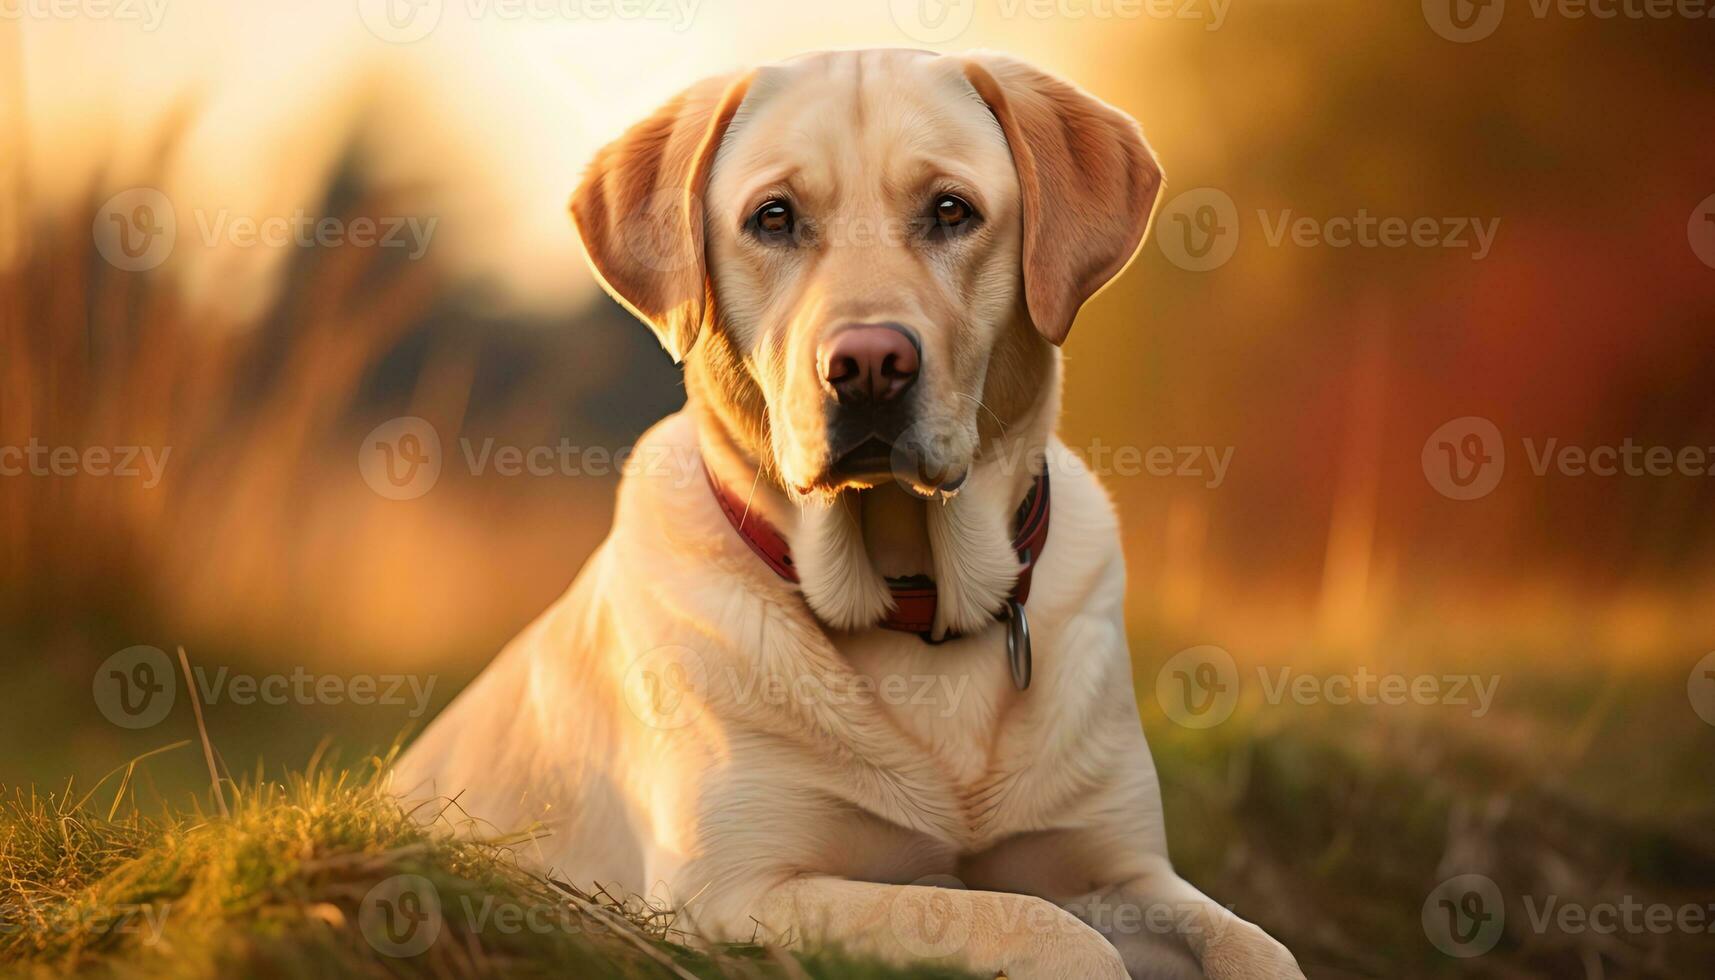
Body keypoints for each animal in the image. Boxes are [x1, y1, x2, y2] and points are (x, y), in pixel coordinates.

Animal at [397, 47, 1296, 980]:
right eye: (773, 218)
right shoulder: (733, 894)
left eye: (950, 210)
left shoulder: (1125, 869)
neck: (915, 600)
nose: (868, 364)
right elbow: (1030, 921)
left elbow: (1255, 943)